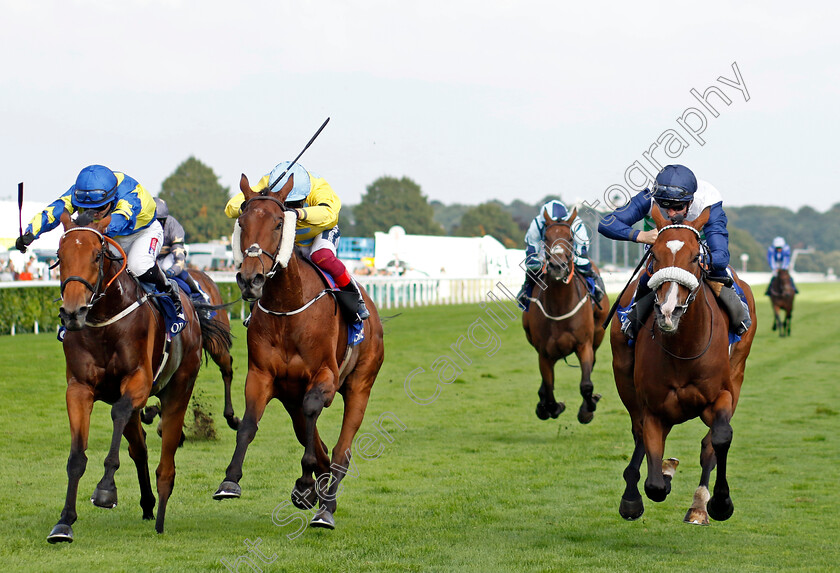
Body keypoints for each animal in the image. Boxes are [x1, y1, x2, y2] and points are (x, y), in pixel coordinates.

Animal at [46, 217, 230, 544]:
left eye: (97, 255)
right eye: (59, 254)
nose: (72, 312)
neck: (104, 323)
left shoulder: (138, 382)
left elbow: (118, 412)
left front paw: (106, 489)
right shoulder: (79, 388)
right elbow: (77, 456)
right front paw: (64, 522)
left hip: (180, 386)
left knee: (166, 459)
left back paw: (160, 515)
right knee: (139, 447)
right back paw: (147, 503)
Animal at [212, 172, 386, 528]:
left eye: (280, 222)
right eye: (242, 222)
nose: (250, 279)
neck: (288, 310)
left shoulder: (325, 378)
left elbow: (313, 417)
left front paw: (307, 484)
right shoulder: (262, 376)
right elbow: (248, 425)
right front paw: (230, 481)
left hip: (360, 385)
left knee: (340, 451)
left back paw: (326, 507)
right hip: (290, 395)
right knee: (317, 441)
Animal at [520, 208, 608, 422]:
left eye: (570, 237)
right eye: (546, 237)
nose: (557, 266)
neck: (560, 306)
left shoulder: (584, 345)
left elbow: (586, 385)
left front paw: (587, 409)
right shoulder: (544, 352)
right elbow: (549, 388)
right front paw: (550, 406)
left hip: (598, 335)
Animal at [608, 208, 756, 524]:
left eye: (694, 257)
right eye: (654, 255)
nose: (668, 311)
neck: (682, 349)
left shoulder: (722, 394)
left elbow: (720, 437)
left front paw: (720, 503)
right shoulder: (653, 407)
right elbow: (653, 480)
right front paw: (654, 482)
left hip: (738, 369)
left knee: (709, 443)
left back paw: (699, 505)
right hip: (623, 375)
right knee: (638, 431)